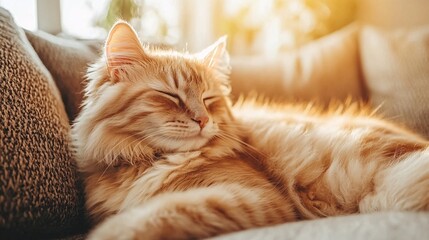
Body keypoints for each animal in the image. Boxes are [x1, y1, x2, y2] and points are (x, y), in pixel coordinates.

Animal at [73, 21, 428, 239]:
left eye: (209, 99)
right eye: (170, 96)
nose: (203, 120)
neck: (147, 163)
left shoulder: (252, 196)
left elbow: (158, 213)